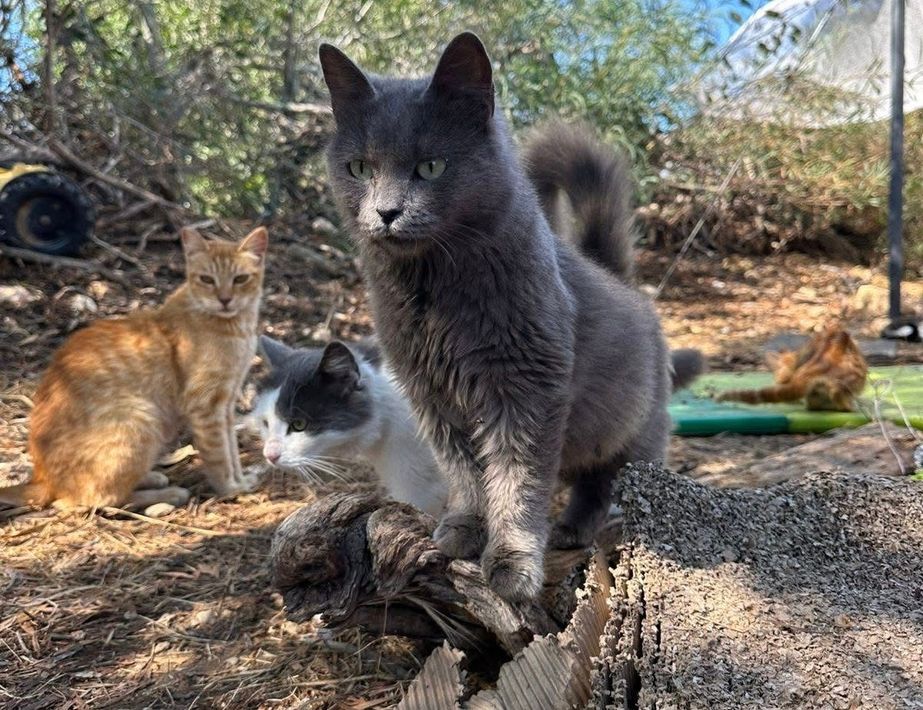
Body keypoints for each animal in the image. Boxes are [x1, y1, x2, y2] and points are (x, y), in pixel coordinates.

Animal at [0, 227, 268, 510]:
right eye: (207, 279)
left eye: (240, 279)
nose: (225, 300)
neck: (235, 328)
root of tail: (42, 479)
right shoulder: (205, 406)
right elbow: (219, 456)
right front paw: (230, 488)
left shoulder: (226, 403)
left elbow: (232, 451)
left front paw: (240, 479)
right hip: (140, 418)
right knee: (94, 499)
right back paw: (168, 494)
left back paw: (150, 477)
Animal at [318, 33, 700, 602]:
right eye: (360, 169)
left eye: (431, 166)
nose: (386, 212)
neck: (431, 296)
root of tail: (618, 279)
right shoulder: (433, 396)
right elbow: (466, 472)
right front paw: (464, 528)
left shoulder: (522, 391)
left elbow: (516, 479)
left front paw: (513, 564)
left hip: (631, 429)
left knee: (604, 480)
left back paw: (574, 528)